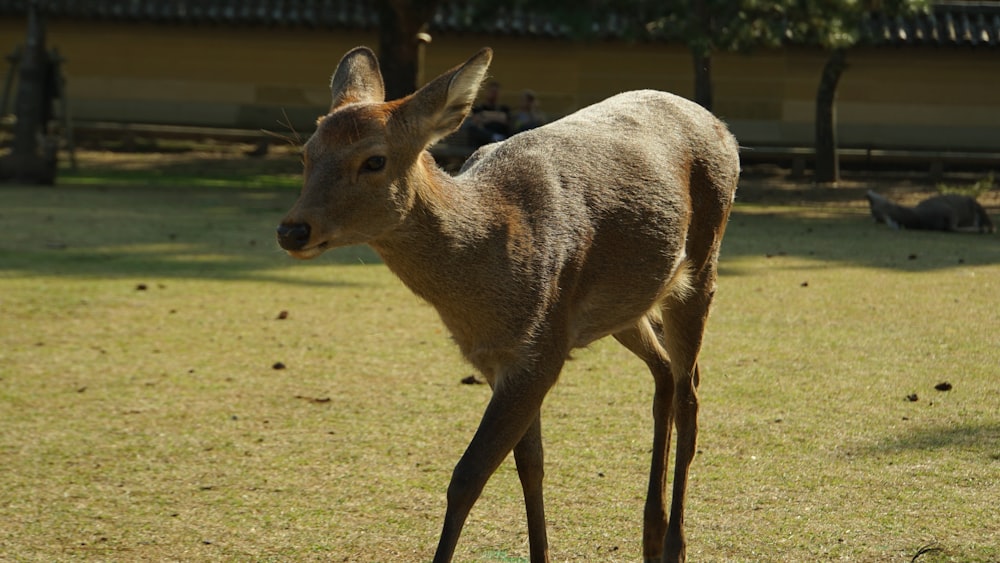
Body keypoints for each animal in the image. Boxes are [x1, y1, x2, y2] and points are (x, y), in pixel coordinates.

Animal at [278, 46, 740, 560]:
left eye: (374, 160)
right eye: (306, 153)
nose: (293, 229)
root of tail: (723, 127)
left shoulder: (543, 348)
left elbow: (468, 475)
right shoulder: (501, 361)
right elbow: (529, 465)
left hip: (702, 265)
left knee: (689, 391)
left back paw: (675, 543)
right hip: (629, 306)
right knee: (664, 373)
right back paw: (650, 534)